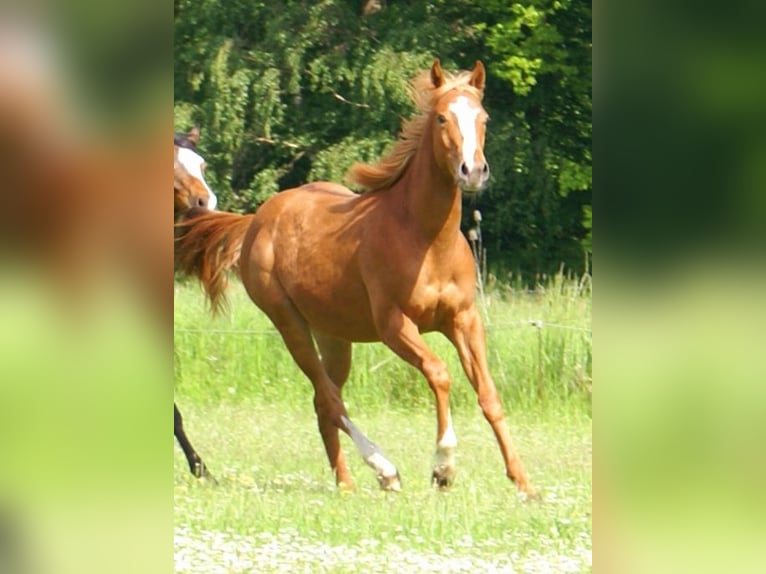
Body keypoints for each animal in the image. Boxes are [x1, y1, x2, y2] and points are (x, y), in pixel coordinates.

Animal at [175, 60, 535, 496]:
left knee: (323, 400)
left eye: (483, 117)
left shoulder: (463, 320)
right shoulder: (395, 325)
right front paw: (443, 467)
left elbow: (488, 394)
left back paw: (346, 482)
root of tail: (258, 219)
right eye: (441, 118)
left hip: (333, 334)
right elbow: (439, 374)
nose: (473, 172)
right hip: (289, 323)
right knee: (330, 398)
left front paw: (524, 483)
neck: (427, 239)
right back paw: (385, 469)